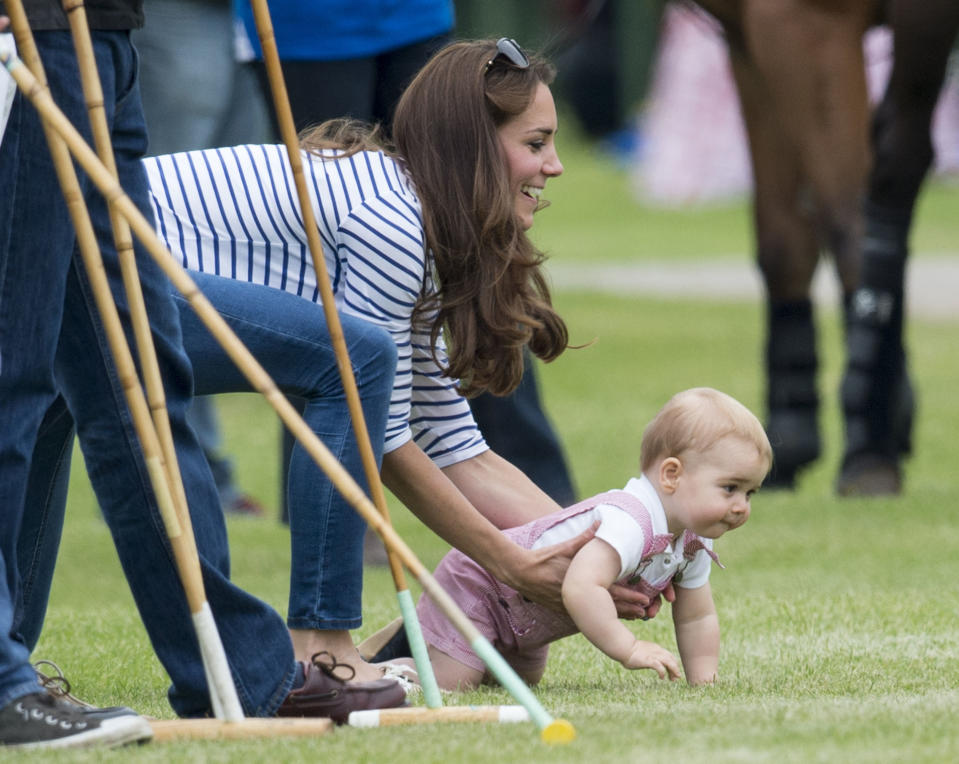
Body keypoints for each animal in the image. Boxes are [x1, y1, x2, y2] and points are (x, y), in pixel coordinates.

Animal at [688, 0, 956, 492]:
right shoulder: (748, 34)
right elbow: (784, 238)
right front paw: (787, 432)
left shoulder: (811, 22)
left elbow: (851, 212)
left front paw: (869, 441)